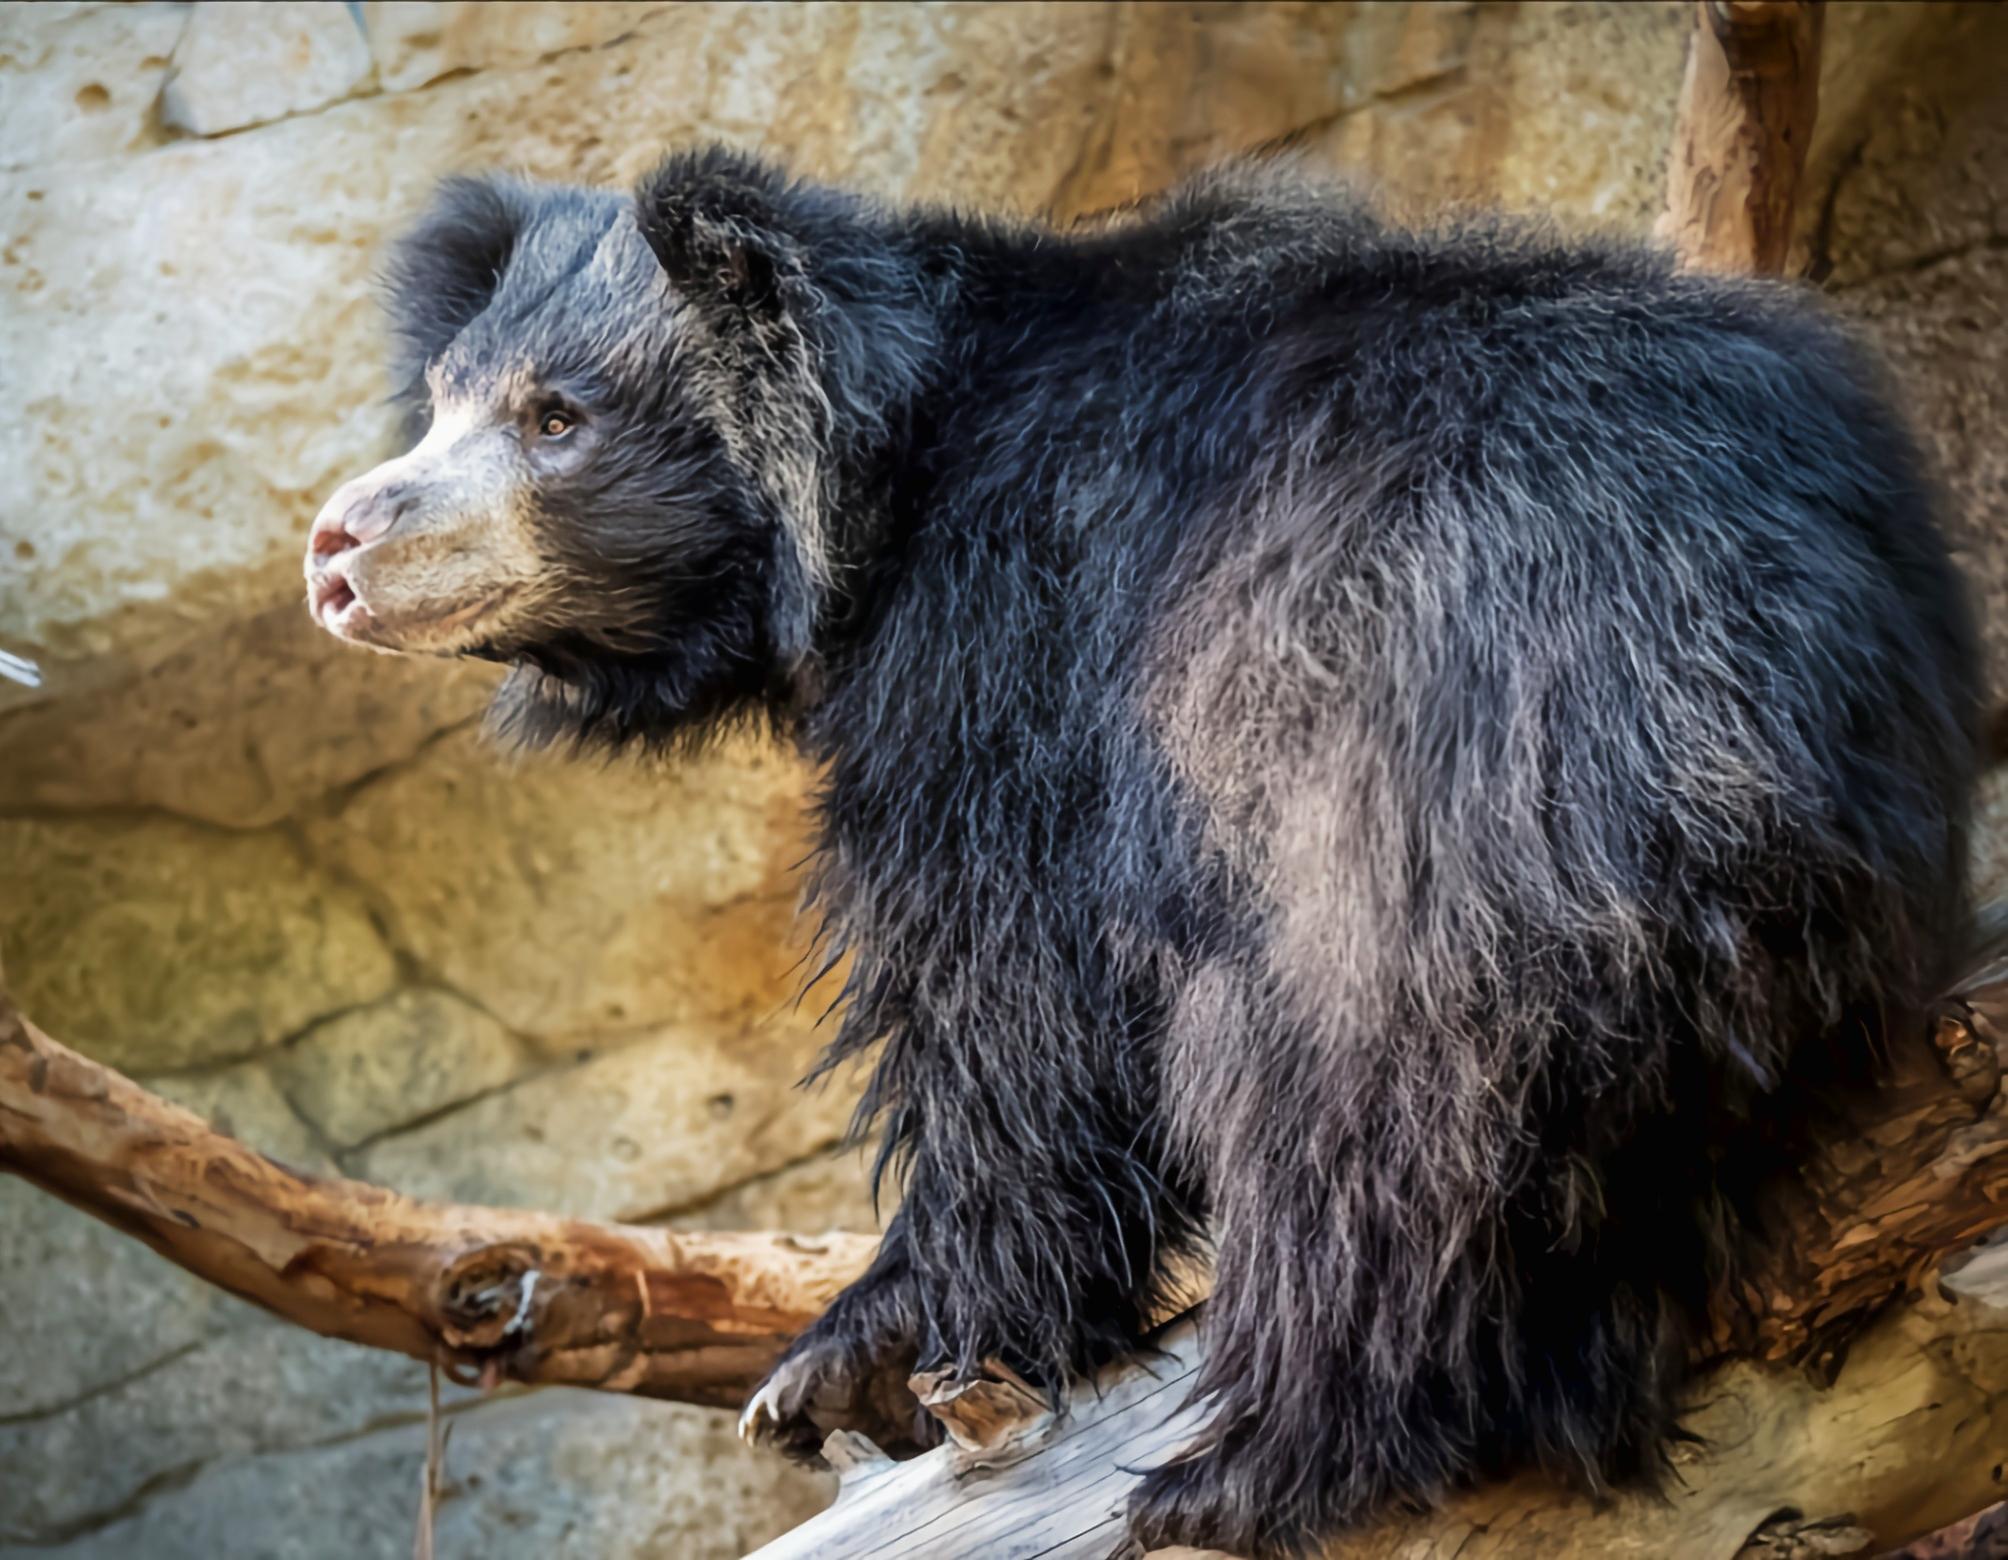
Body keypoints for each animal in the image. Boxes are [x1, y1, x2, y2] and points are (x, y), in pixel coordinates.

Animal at [309, 142, 1975, 1541]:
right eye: (441, 402)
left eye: (554, 418)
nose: (337, 543)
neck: (882, 470)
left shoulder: (1006, 645)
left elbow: (1007, 992)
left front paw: (850, 1360)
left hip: (1432, 804)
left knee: (1351, 1113)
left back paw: (1253, 1464)